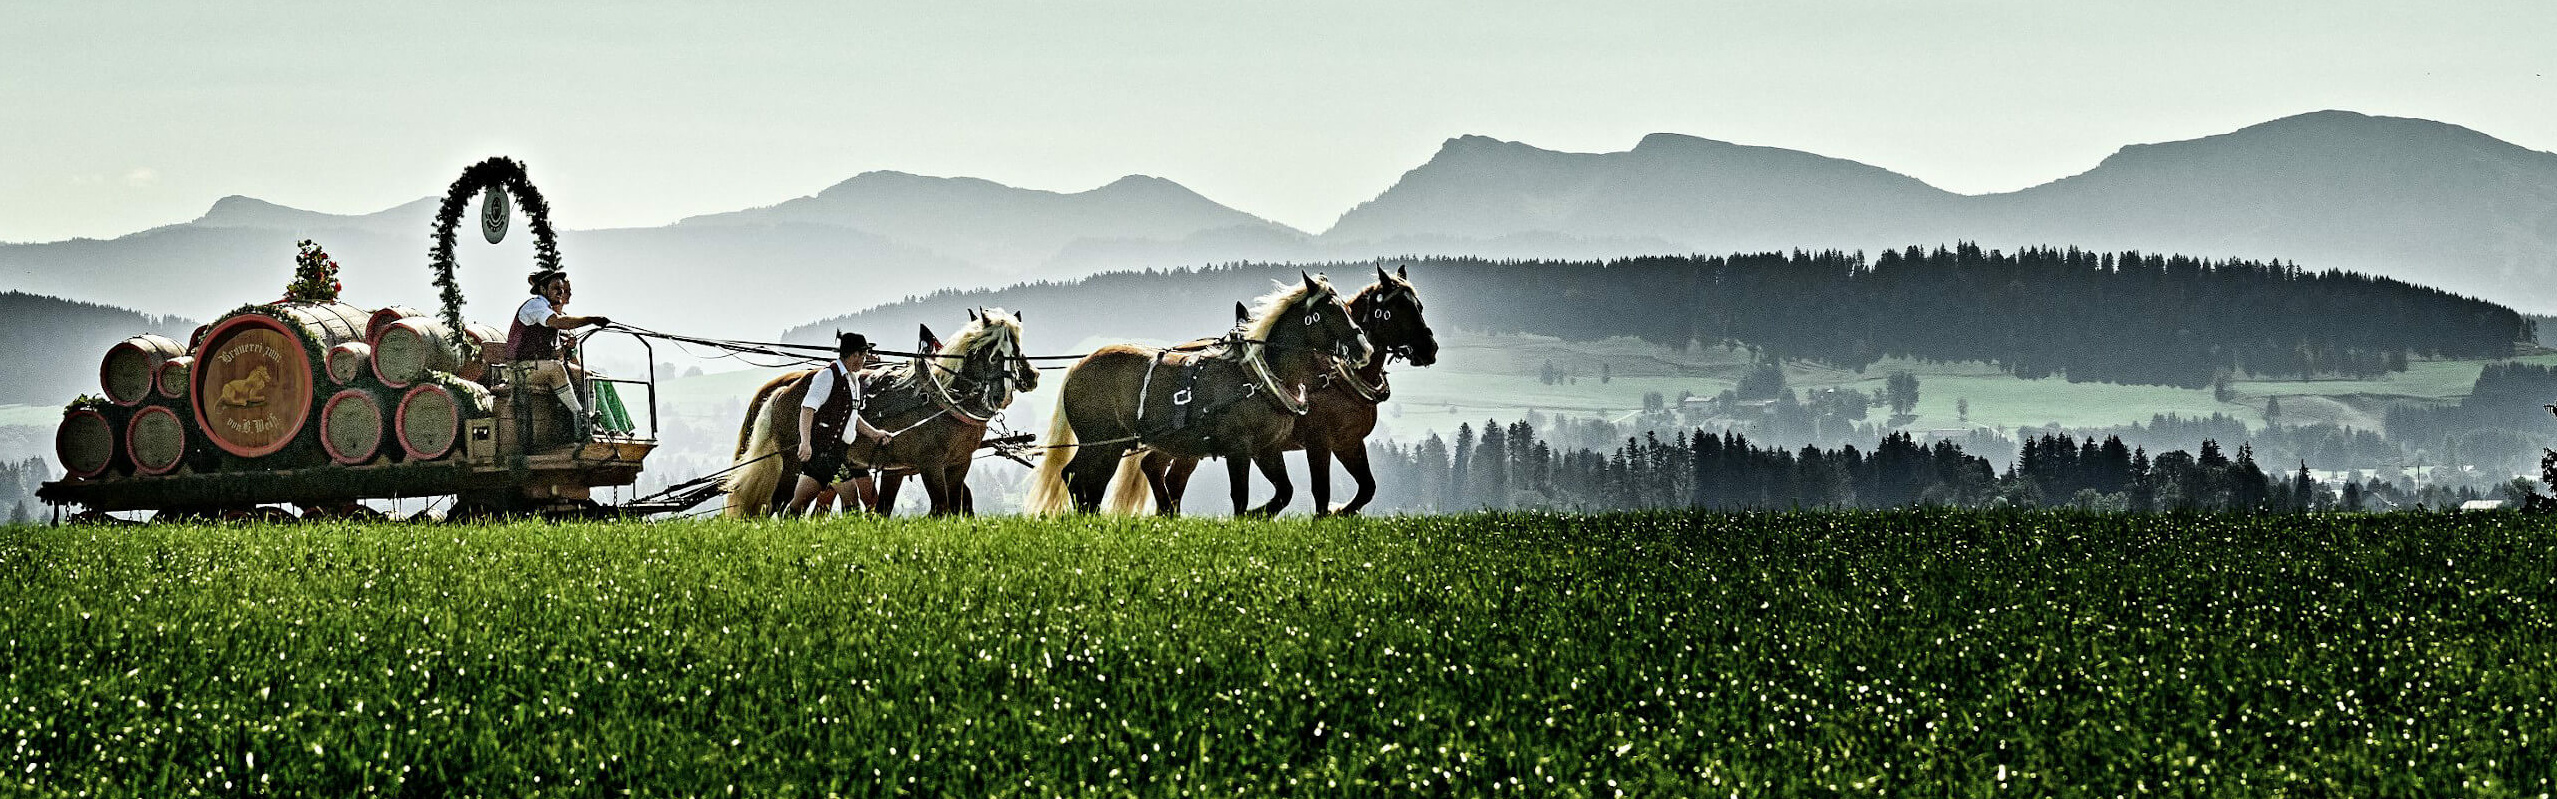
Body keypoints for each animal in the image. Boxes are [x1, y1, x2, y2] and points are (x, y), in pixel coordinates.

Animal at [721, 306, 1038, 517]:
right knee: (781, 503)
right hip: (794, 461)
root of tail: (783, 392)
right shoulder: (930, 464)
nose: (1002, 393)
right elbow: (940, 508)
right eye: (987, 351)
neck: (944, 400)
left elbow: (955, 506)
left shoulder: (958, 463)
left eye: (1016, 348)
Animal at [1022, 271, 1370, 514]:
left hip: (1112, 444)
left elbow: (1283, 493)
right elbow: (1240, 496)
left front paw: (1260, 515)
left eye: (1346, 308)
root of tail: (1078, 366)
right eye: (1329, 312)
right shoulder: (1238, 448)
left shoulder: (1266, 448)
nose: (1363, 348)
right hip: (1100, 440)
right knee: (1076, 476)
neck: (1258, 373)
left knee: (1088, 481)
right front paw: (1245, 519)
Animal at [1135, 262, 1442, 512]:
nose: (1430, 349)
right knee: (1157, 469)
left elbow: (1367, 489)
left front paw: (1339, 511)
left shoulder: (1348, 442)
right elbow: (1320, 492)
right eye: (1394, 310)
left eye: (1419, 306)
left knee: (1167, 475)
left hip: (1187, 444)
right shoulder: (1318, 442)